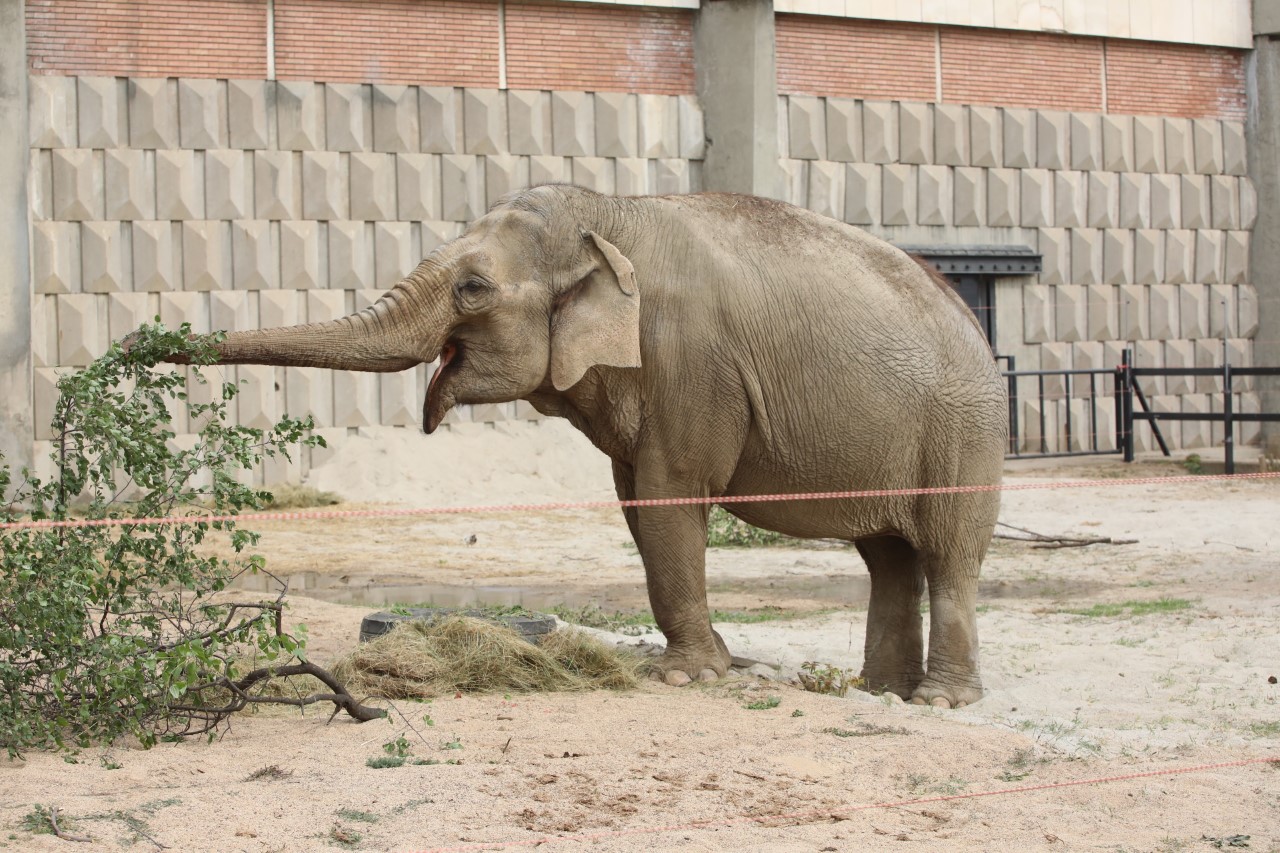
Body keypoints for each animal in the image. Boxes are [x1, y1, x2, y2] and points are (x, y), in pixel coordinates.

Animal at [194, 184, 1003, 701]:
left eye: (473, 289)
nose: (160, 344)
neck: (611, 214)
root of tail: (972, 318)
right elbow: (637, 506)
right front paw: (713, 664)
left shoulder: (691, 363)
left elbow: (671, 492)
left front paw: (686, 678)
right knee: (888, 556)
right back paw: (883, 691)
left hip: (964, 432)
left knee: (947, 555)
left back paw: (939, 701)